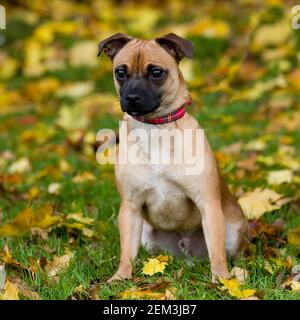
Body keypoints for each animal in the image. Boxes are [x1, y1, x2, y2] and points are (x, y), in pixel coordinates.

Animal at [98, 32, 248, 282]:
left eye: (156, 73)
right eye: (120, 72)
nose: (132, 97)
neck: (155, 127)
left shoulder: (207, 203)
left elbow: (217, 253)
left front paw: (220, 279)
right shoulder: (130, 208)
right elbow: (126, 252)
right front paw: (120, 278)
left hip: (232, 230)